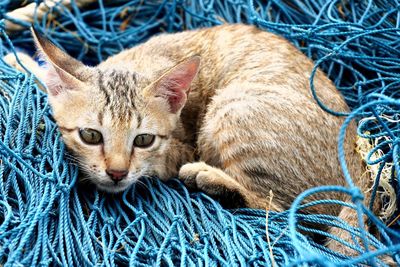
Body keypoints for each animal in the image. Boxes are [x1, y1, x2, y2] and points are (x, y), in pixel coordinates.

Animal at [8, 24, 384, 260]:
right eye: (91, 135)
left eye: (143, 140)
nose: (116, 173)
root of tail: (360, 168)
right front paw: (23, 62)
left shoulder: (182, 146)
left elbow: (160, 163)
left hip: (230, 108)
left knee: (283, 210)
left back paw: (212, 179)